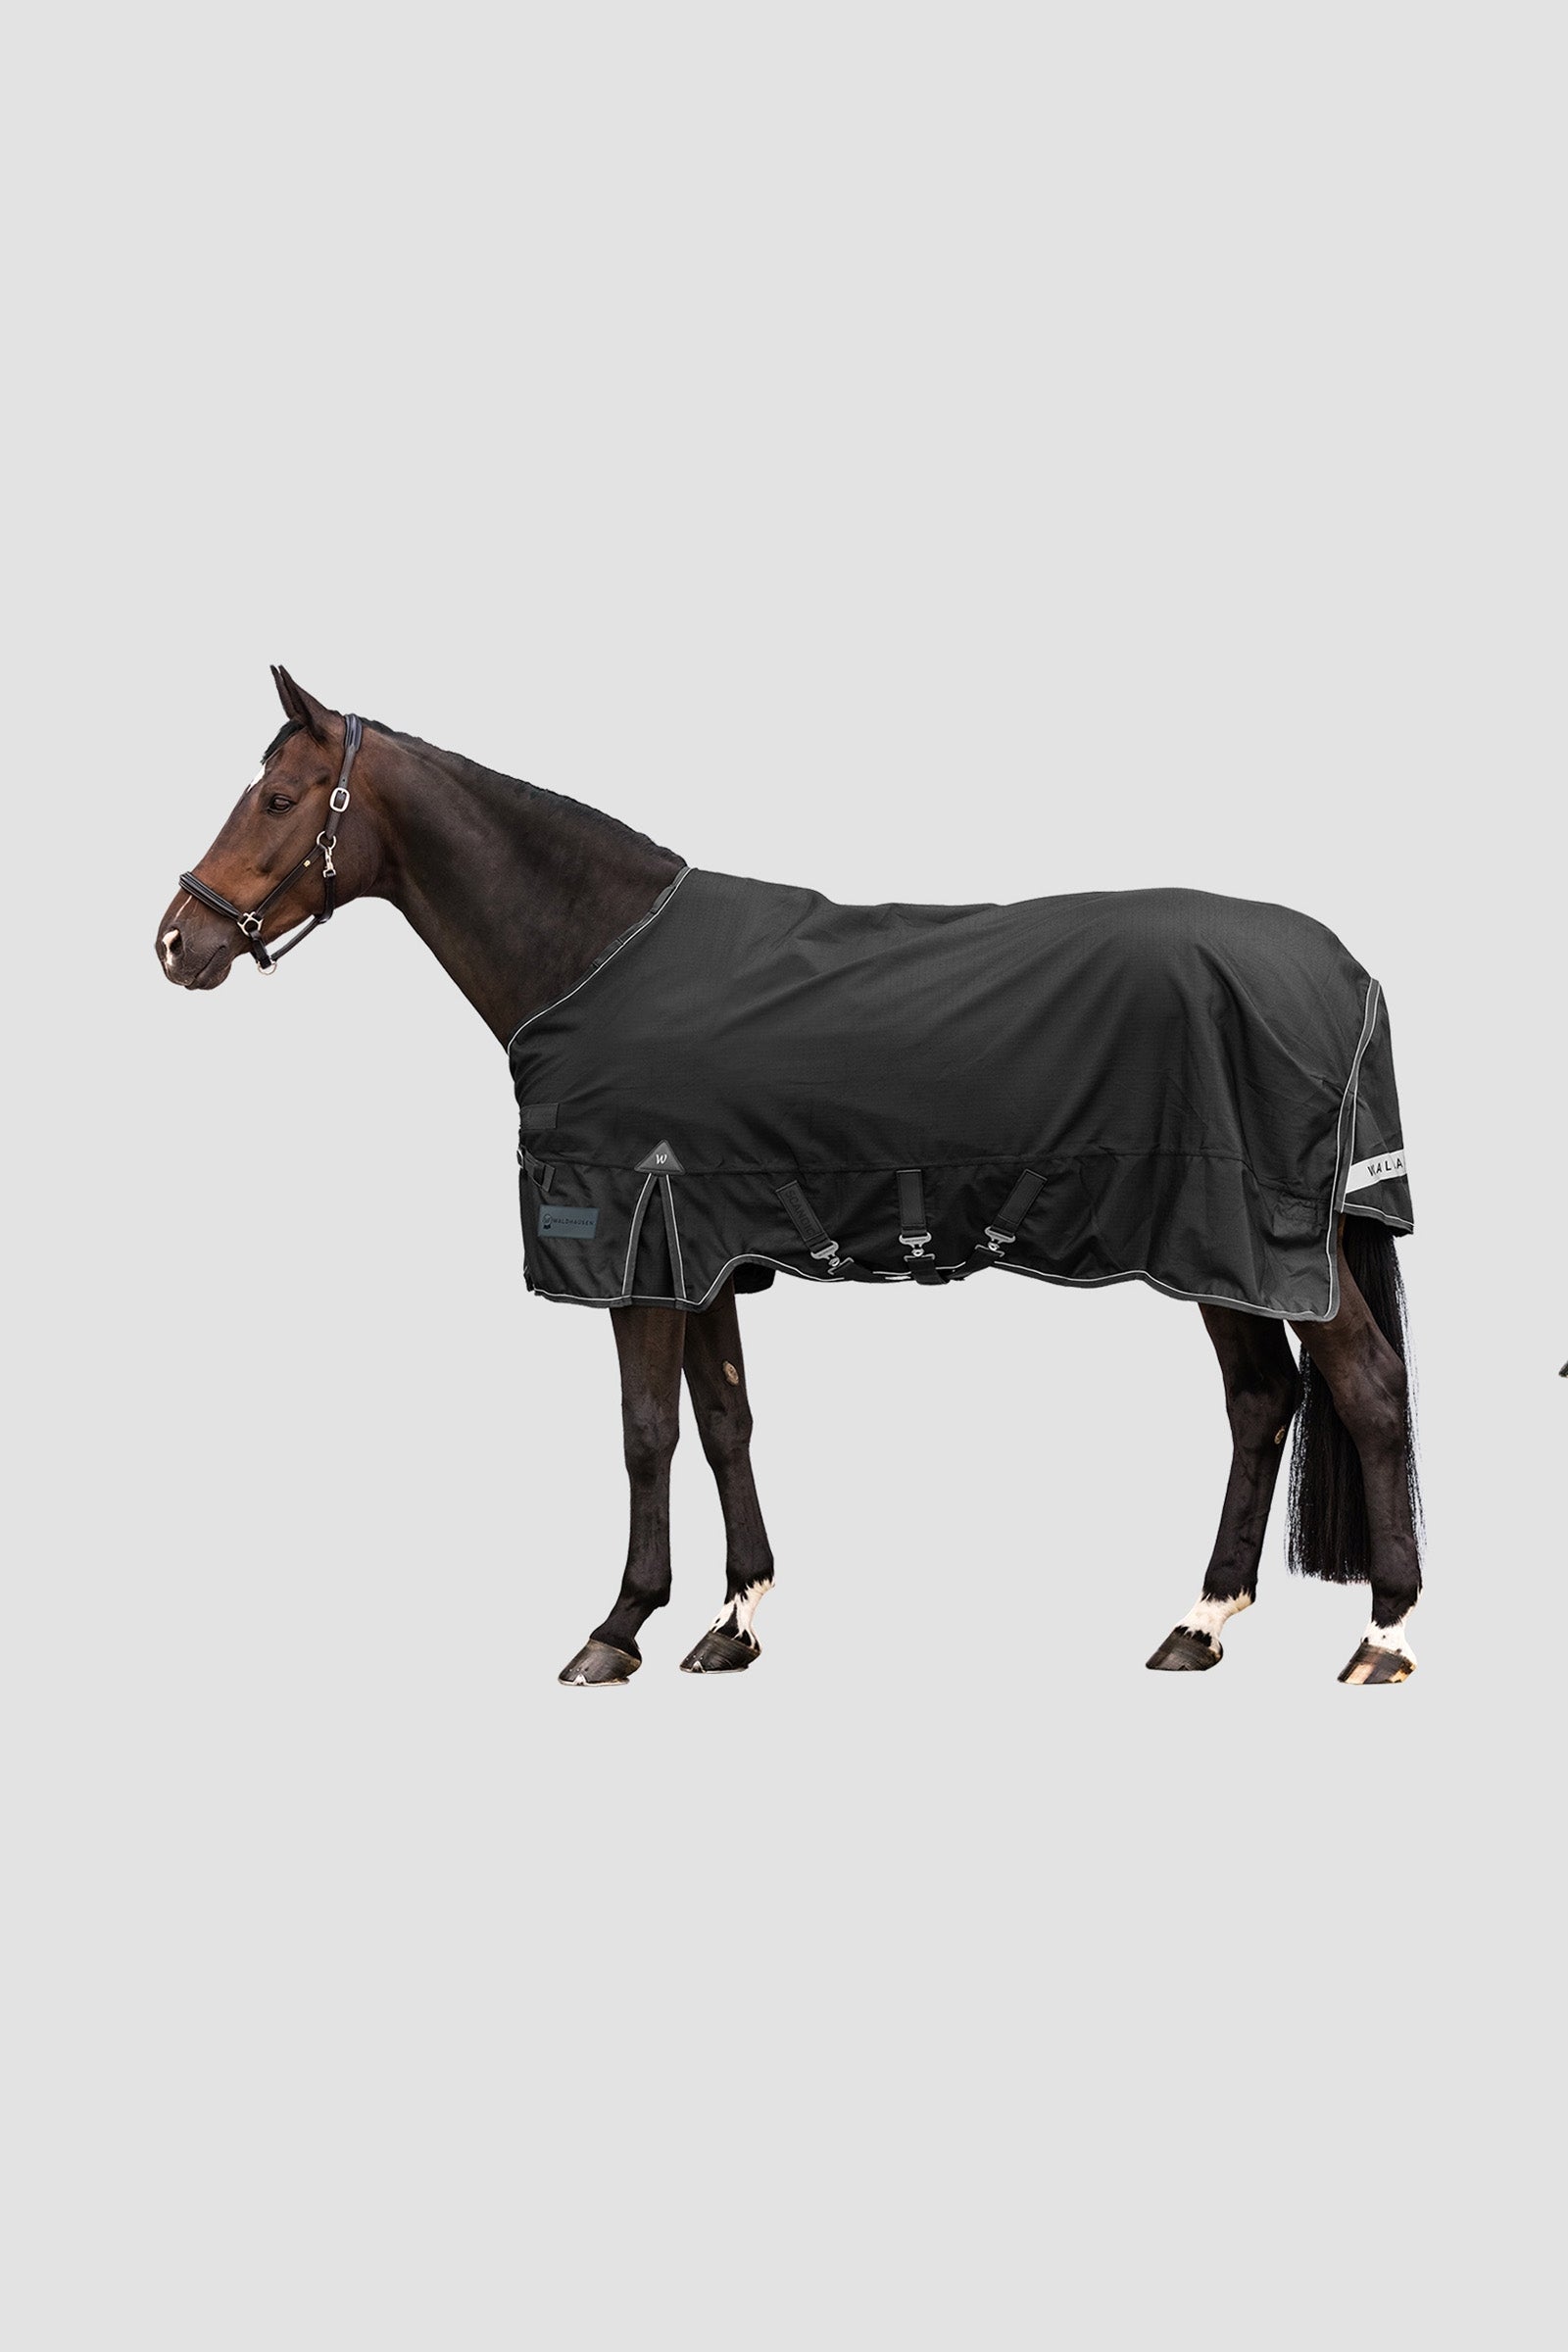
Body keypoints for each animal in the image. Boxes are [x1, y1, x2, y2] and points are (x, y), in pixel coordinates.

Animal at [157, 668, 1422, 1689]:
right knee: (1259, 1402)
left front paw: (616, 1629)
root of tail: (1343, 972)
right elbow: (725, 1422)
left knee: (1364, 1387)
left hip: (1254, 1238)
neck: (596, 952)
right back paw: (1199, 1624)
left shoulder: (634, 1248)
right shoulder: (706, 1247)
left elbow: (644, 1434)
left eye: (278, 799)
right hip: (1219, 1252)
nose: (176, 942)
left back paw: (1384, 1636)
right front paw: (733, 1621)